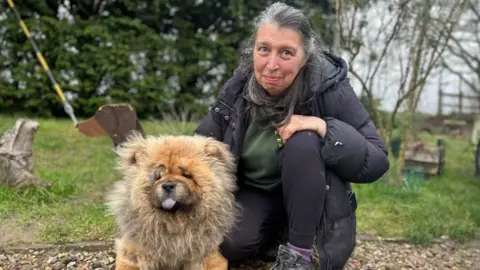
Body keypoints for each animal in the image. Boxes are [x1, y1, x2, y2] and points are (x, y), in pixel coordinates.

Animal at [106, 133, 238, 270]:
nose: (168, 185)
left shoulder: (208, 253)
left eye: (187, 175)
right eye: (157, 177)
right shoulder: (133, 251)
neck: (175, 224)